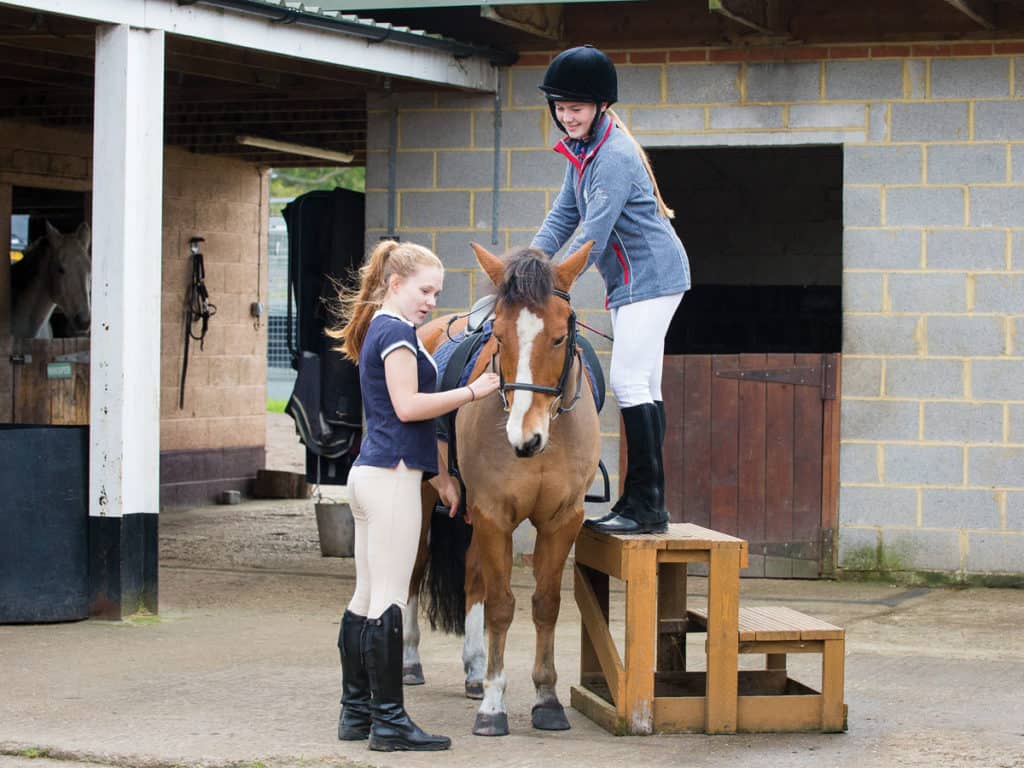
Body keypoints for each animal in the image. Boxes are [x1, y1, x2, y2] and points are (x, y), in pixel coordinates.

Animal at [403, 243, 598, 737]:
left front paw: (546, 699)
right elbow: (502, 607)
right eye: (499, 335)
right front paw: (494, 705)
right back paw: (411, 661)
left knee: (473, 575)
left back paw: (474, 670)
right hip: (424, 501)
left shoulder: (562, 519)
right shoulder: (494, 514)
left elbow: (545, 604)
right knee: (414, 567)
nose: (523, 438)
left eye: (558, 338)